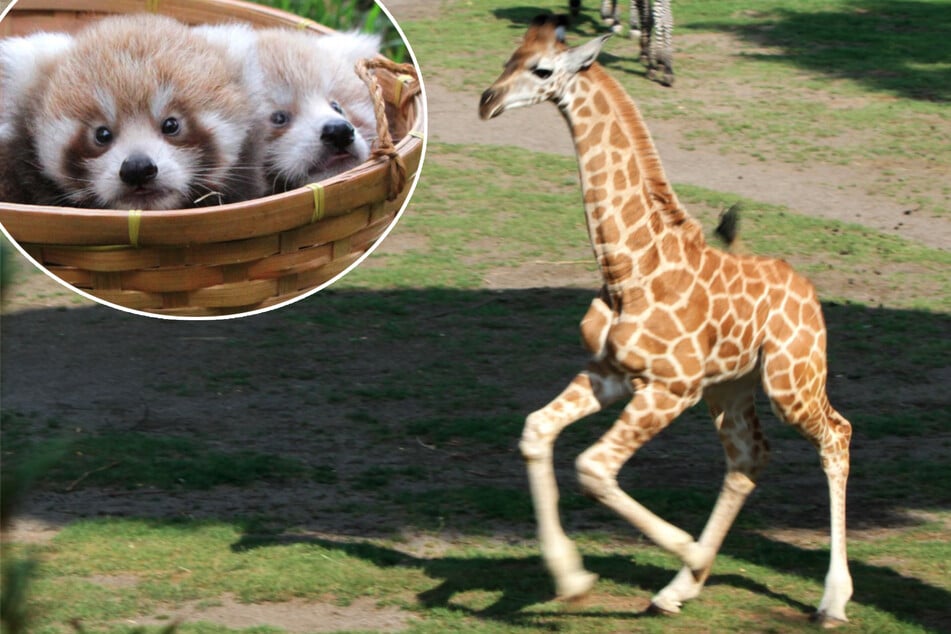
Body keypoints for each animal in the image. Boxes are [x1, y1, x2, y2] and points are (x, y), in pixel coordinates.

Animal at [478, 15, 853, 625]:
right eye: (509, 58)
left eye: (542, 69)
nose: (487, 101)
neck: (627, 267)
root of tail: (809, 292)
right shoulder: (610, 374)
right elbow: (536, 431)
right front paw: (572, 578)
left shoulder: (669, 388)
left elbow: (592, 467)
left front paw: (687, 555)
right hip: (731, 387)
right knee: (748, 457)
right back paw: (676, 591)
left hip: (791, 380)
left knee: (836, 436)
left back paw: (833, 599)